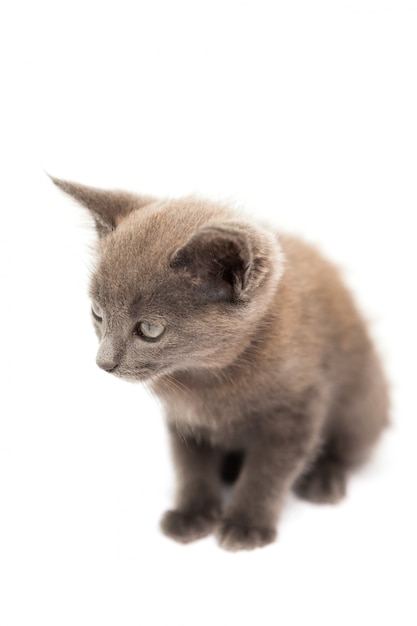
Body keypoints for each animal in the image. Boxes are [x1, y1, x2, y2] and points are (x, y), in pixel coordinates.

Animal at [51, 177, 386, 552]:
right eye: (98, 313)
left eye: (149, 329)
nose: (103, 362)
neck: (207, 378)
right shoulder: (184, 419)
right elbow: (191, 466)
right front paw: (193, 513)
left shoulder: (298, 411)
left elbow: (268, 471)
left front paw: (246, 524)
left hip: (363, 399)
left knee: (352, 443)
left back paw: (324, 477)